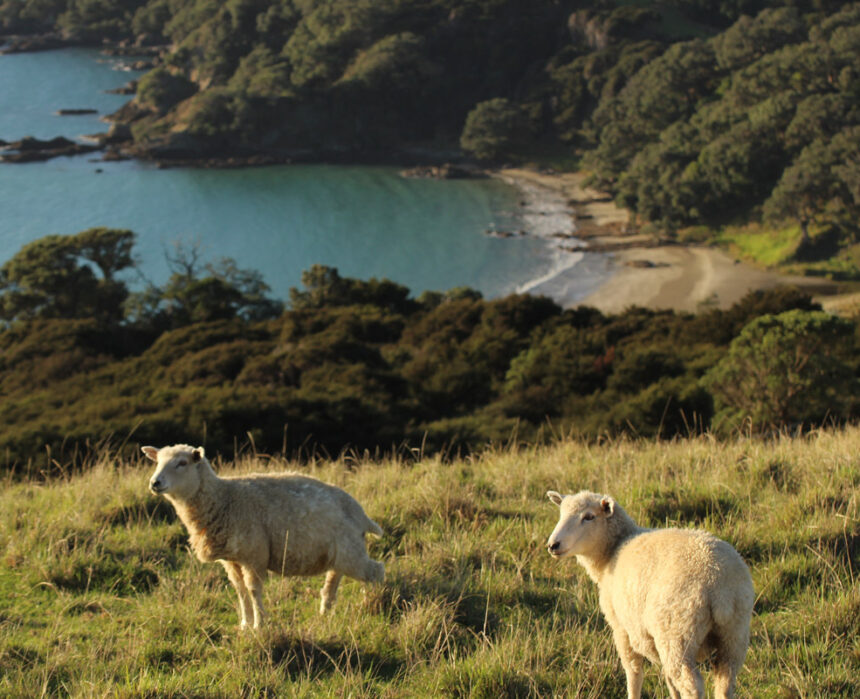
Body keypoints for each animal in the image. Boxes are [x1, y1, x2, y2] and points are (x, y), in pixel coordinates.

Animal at [143, 444, 384, 629]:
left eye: (182, 463)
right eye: (157, 462)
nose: (155, 483)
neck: (224, 499)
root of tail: (360, 512)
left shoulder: (253, 555)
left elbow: (253, 590)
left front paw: (259, 625)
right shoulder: (232, 559)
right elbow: (240, 591)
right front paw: (245, 625)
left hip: (351, 550)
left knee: (375, 571)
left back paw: (373, 604)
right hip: (340, 552)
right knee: (333, 581)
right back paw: (325, 613)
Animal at [546, 490, 754, 699]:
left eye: (589, 517)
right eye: (561, 513)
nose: (553, 545)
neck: (612, 551)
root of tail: (719, 586)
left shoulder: (622, 628)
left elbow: (634, 674)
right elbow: (669, 681)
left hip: (677, 635)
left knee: (691, 685)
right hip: (733, 637)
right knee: (724, 684)